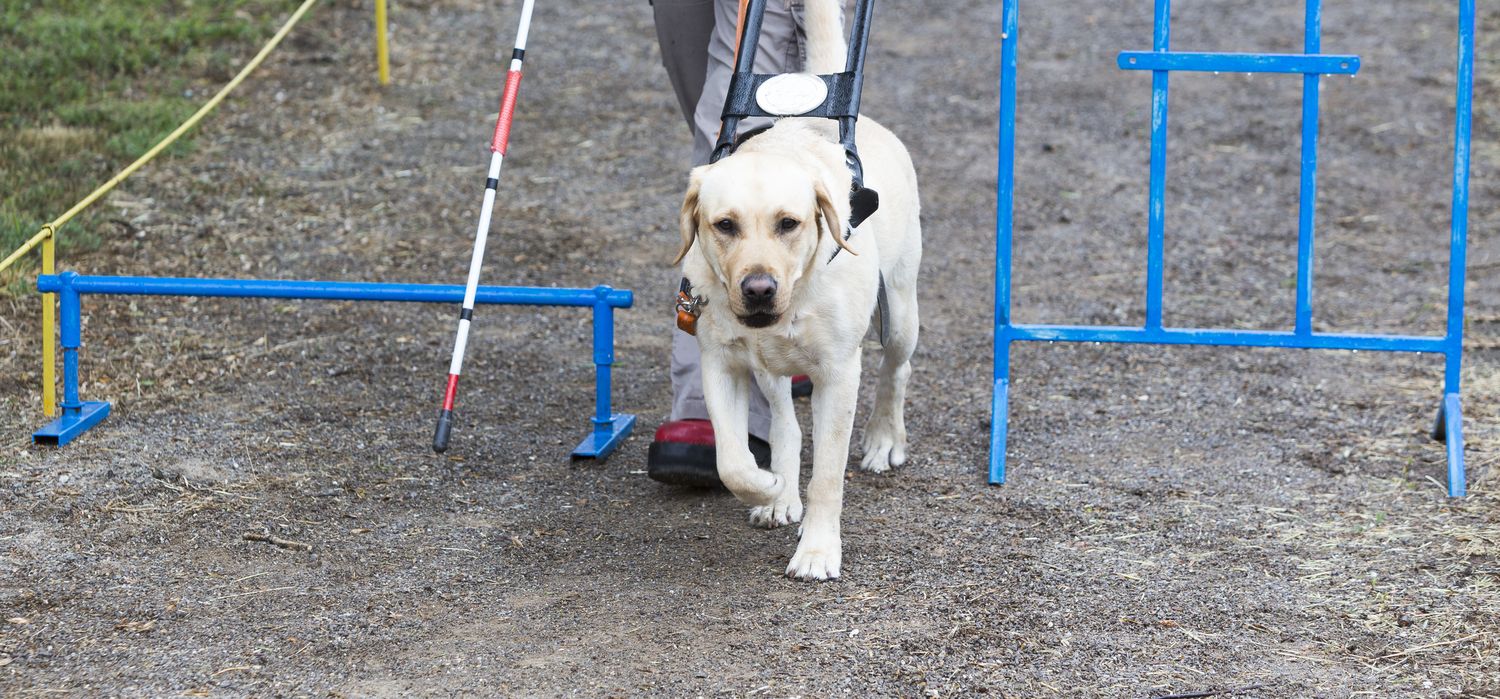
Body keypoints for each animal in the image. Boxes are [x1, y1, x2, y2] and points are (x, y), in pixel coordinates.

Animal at [675, 0, 918, 579]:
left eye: (790, 223)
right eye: (724, 225)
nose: (759, 289)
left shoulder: (839, 374)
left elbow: (827, 476)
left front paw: (818, 551)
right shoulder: (721, 363)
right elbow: (731, 460)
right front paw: (767, 488)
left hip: (901, 311)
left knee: (897, 369)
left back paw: (883, 439)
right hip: (768, 366)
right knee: (785, 423)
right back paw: (780, 494)